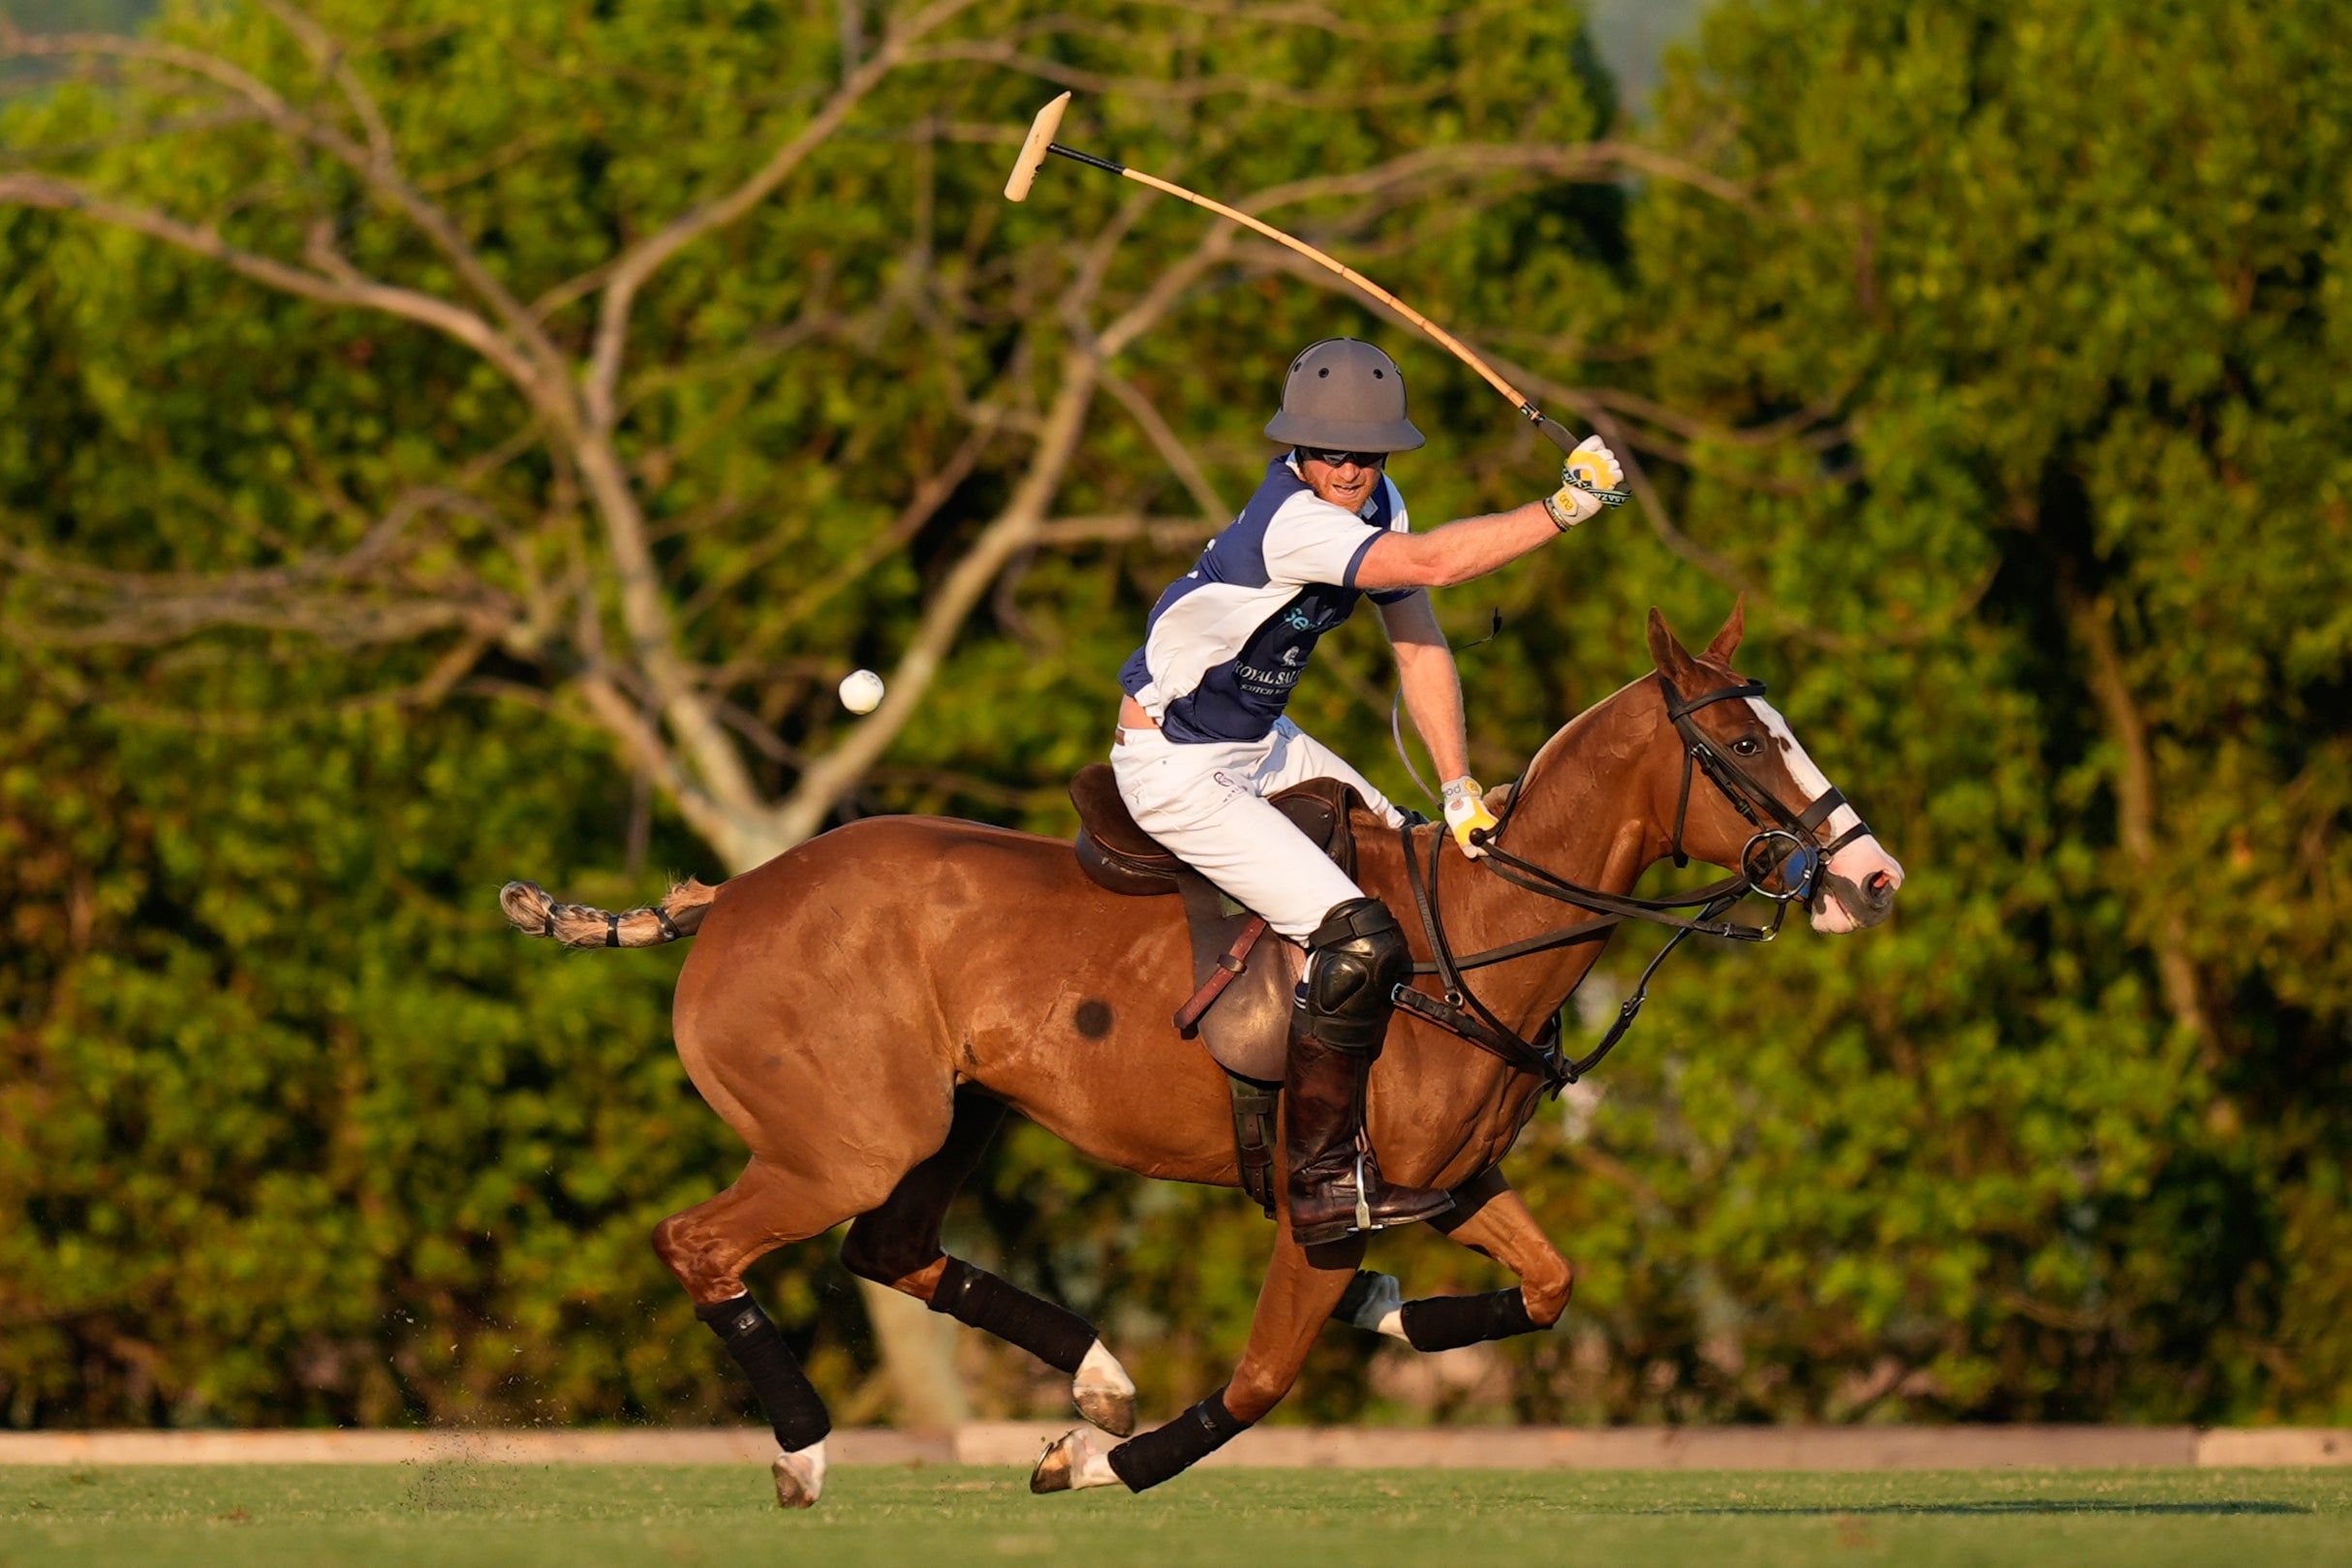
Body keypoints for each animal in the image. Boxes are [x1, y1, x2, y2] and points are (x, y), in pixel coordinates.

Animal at [506, 606, 1900, 1504]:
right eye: (1745, 743)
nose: (1873, 878)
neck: (1475, 931)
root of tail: (731, 895)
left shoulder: (1446, 1183)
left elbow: (1551, 1283)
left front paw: (1384, 1308)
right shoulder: (1318, 1199)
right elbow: (1267, 1376)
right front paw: (1088, 1464)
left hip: (952, 1115)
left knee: (888, 1247)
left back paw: (1101, 1378)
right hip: (846, 1136)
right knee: (702, 1241)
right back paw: (808, 1450)